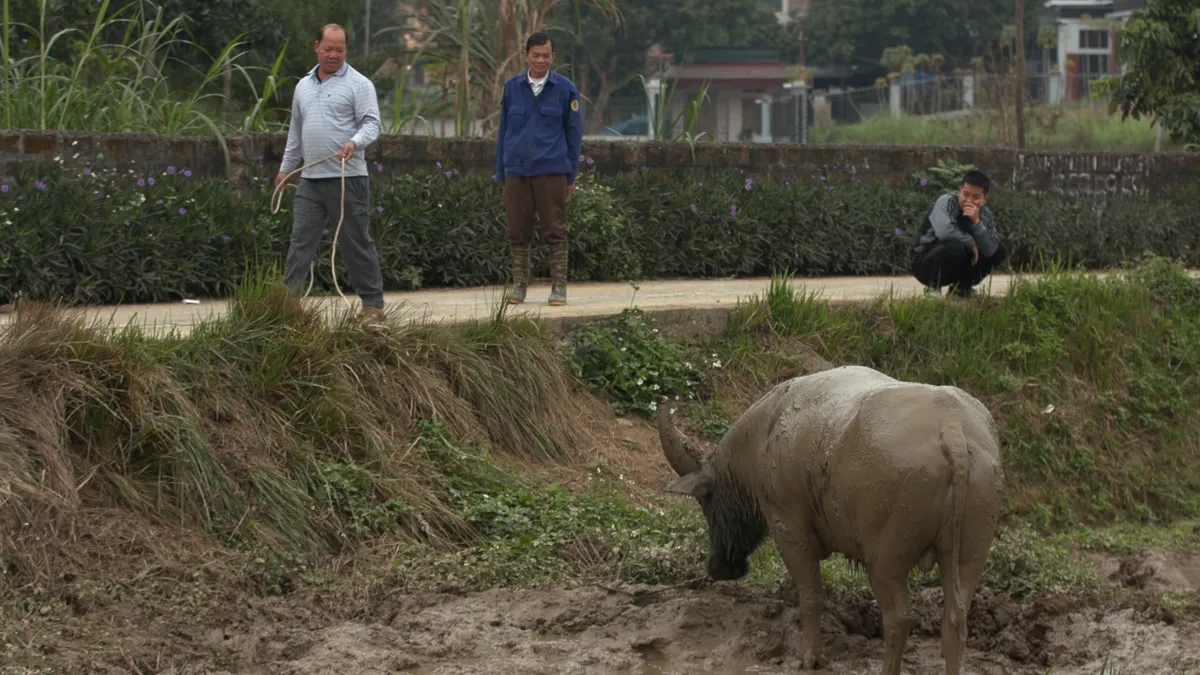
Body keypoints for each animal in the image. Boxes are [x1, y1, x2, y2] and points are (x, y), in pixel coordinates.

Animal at [657, 365, 1003, 667]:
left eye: (705, 500)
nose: (718, 568)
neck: (765, 434)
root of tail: (953, 431)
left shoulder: (788, 528)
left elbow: (811, 596)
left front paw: (809, 657)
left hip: (885, 559)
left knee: (899, 619)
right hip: (970, 554)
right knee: (955, 621)